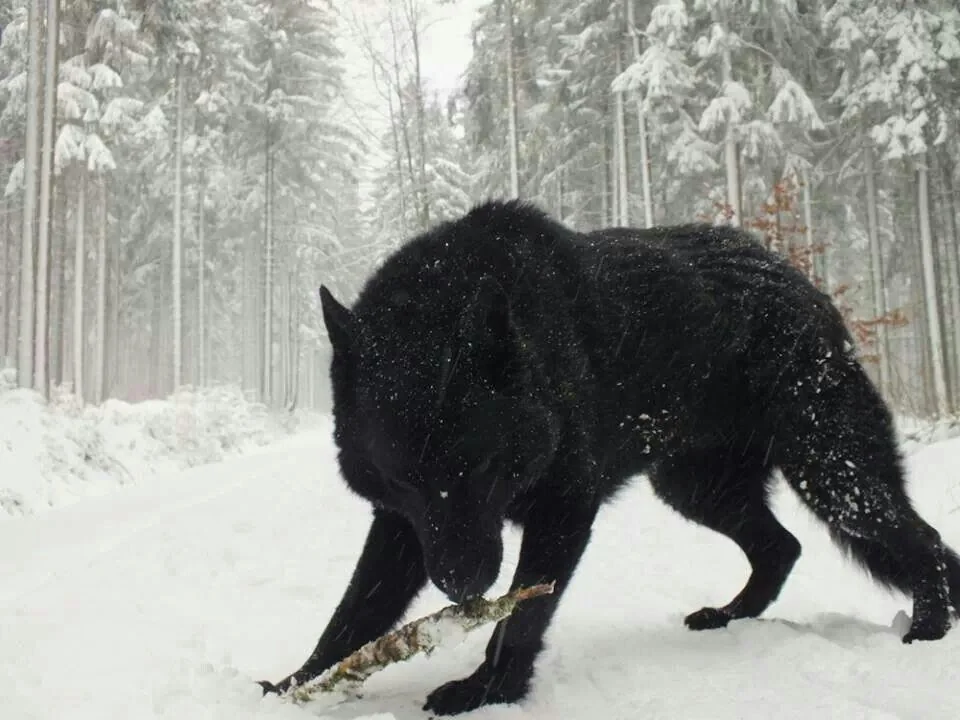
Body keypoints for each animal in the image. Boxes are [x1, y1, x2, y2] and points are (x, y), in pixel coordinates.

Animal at [258, 201, 956, 716]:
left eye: (479, 467)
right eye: (404, 479)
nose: (461, 586)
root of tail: (797, 278)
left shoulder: (563, 510)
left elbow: (522, 616)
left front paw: (487, 691)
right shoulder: (406, 526)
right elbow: (354, 612)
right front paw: (297, 685)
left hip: (834, 476)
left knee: (923, 541)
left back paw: (926, 631)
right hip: (697, 488)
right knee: (781, 547)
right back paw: (730, 616)